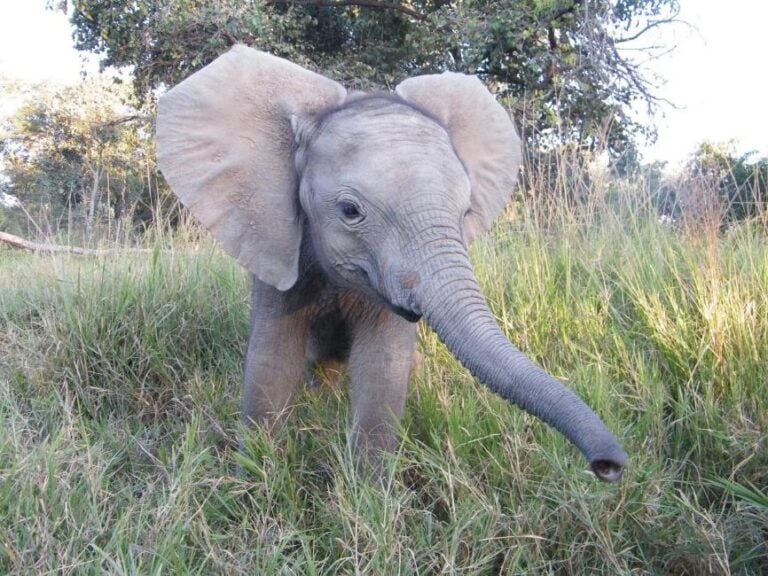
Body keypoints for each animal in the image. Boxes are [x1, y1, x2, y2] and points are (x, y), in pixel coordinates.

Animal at [156, 45, 627, 482]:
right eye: (350, 211)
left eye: (466, 212)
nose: (610, 466)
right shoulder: (275, 240)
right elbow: (272, 359)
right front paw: (254, 481)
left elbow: (384, 367)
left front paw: (370, 498)